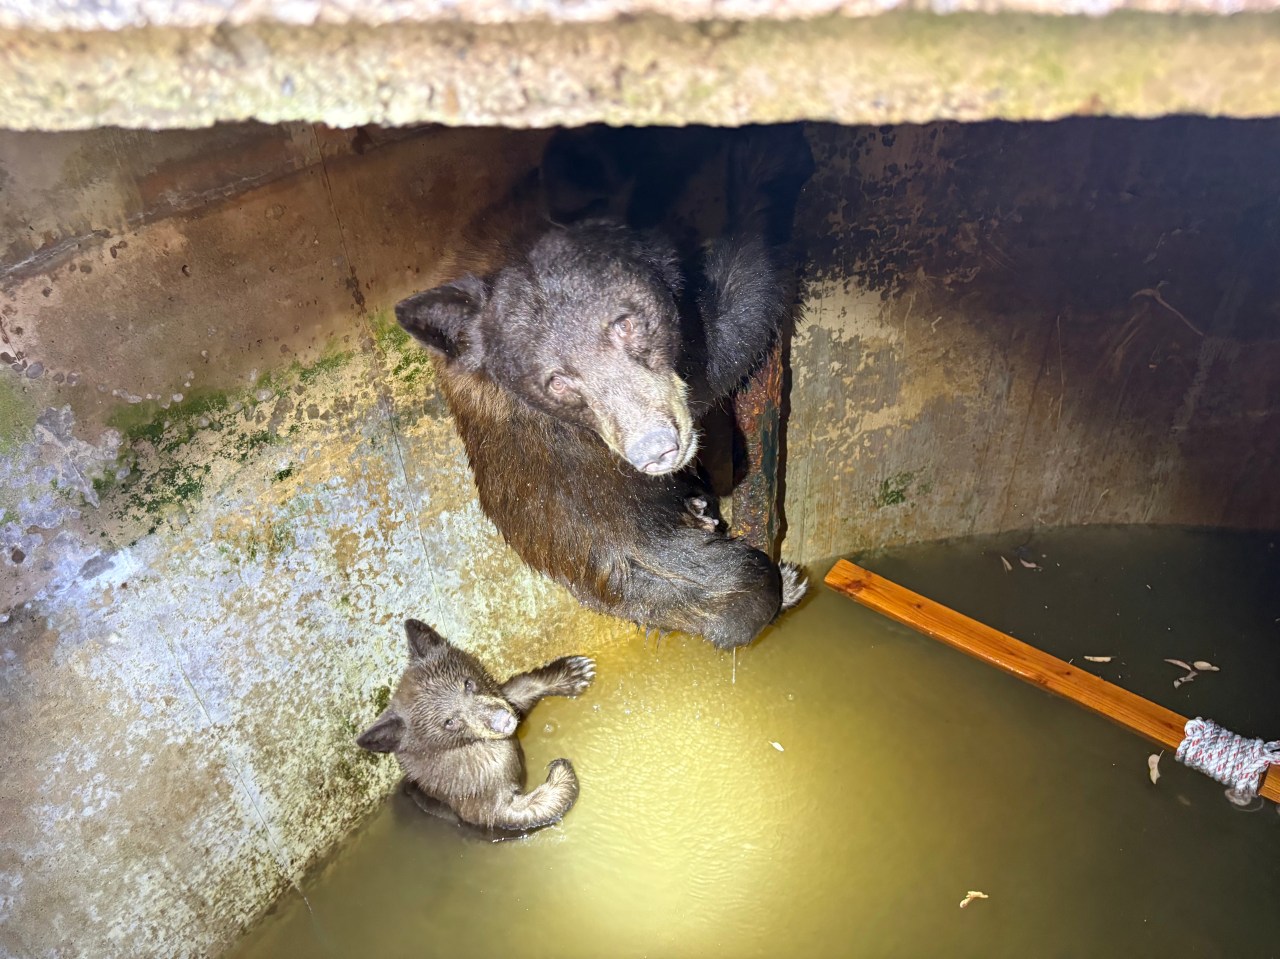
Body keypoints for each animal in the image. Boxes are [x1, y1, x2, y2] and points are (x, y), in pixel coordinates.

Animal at [356, 619, 595, 833]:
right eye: (449, 722)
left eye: (468, 683)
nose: (502, 720)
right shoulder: (473, 795)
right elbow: (514, 813)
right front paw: (560, 771)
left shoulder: (499, 697)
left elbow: (520, 689)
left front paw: (575, 671)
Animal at [393, 129, 812, 650]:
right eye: (557, 380)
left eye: (625, 322)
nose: (655, 449)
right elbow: (726, 338)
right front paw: (767, 160)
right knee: (732, 586)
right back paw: (780, 580)